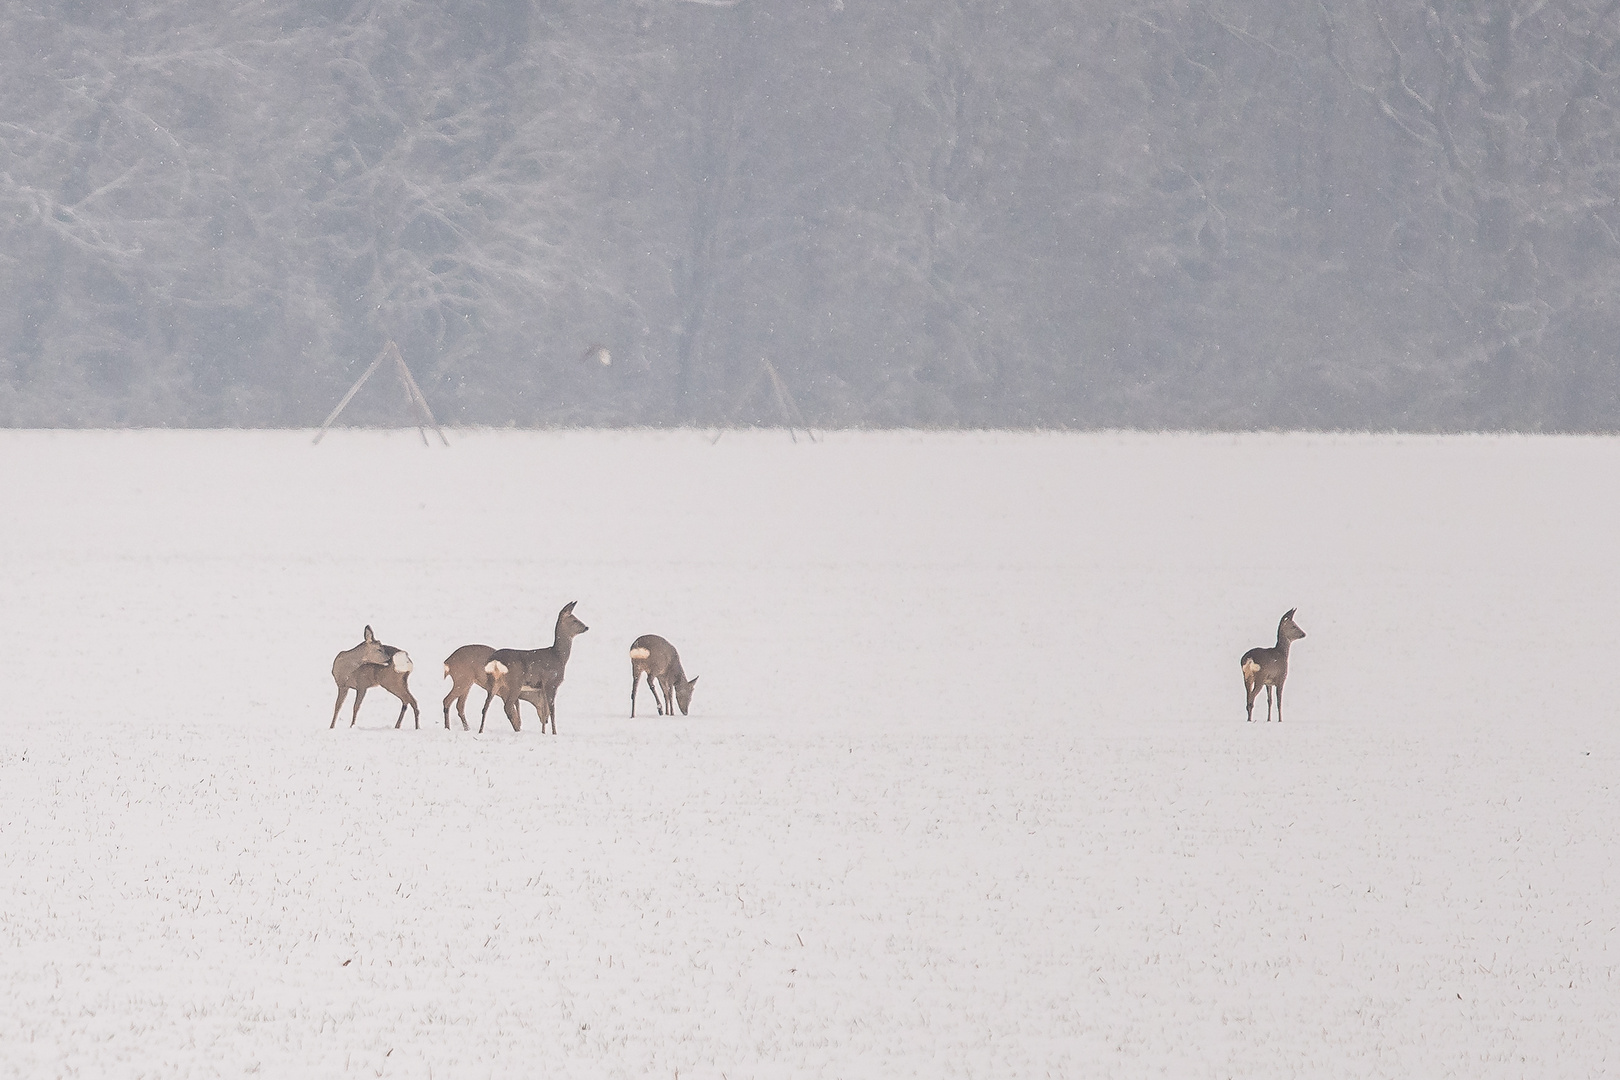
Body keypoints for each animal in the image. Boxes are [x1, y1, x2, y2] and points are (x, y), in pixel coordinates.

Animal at [482, 599, 592, 735]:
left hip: (493, 681)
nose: (586, 627)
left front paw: (543, 733)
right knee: (507, 706)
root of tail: (495, 660)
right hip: (515, 682)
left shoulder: (541, 688)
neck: (559, 657)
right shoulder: (551, 683)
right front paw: (555, 733)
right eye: (574, 619)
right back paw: (517, 730)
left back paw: (480, 731)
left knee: (485, 706)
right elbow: (552, 710)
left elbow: (544, 712)